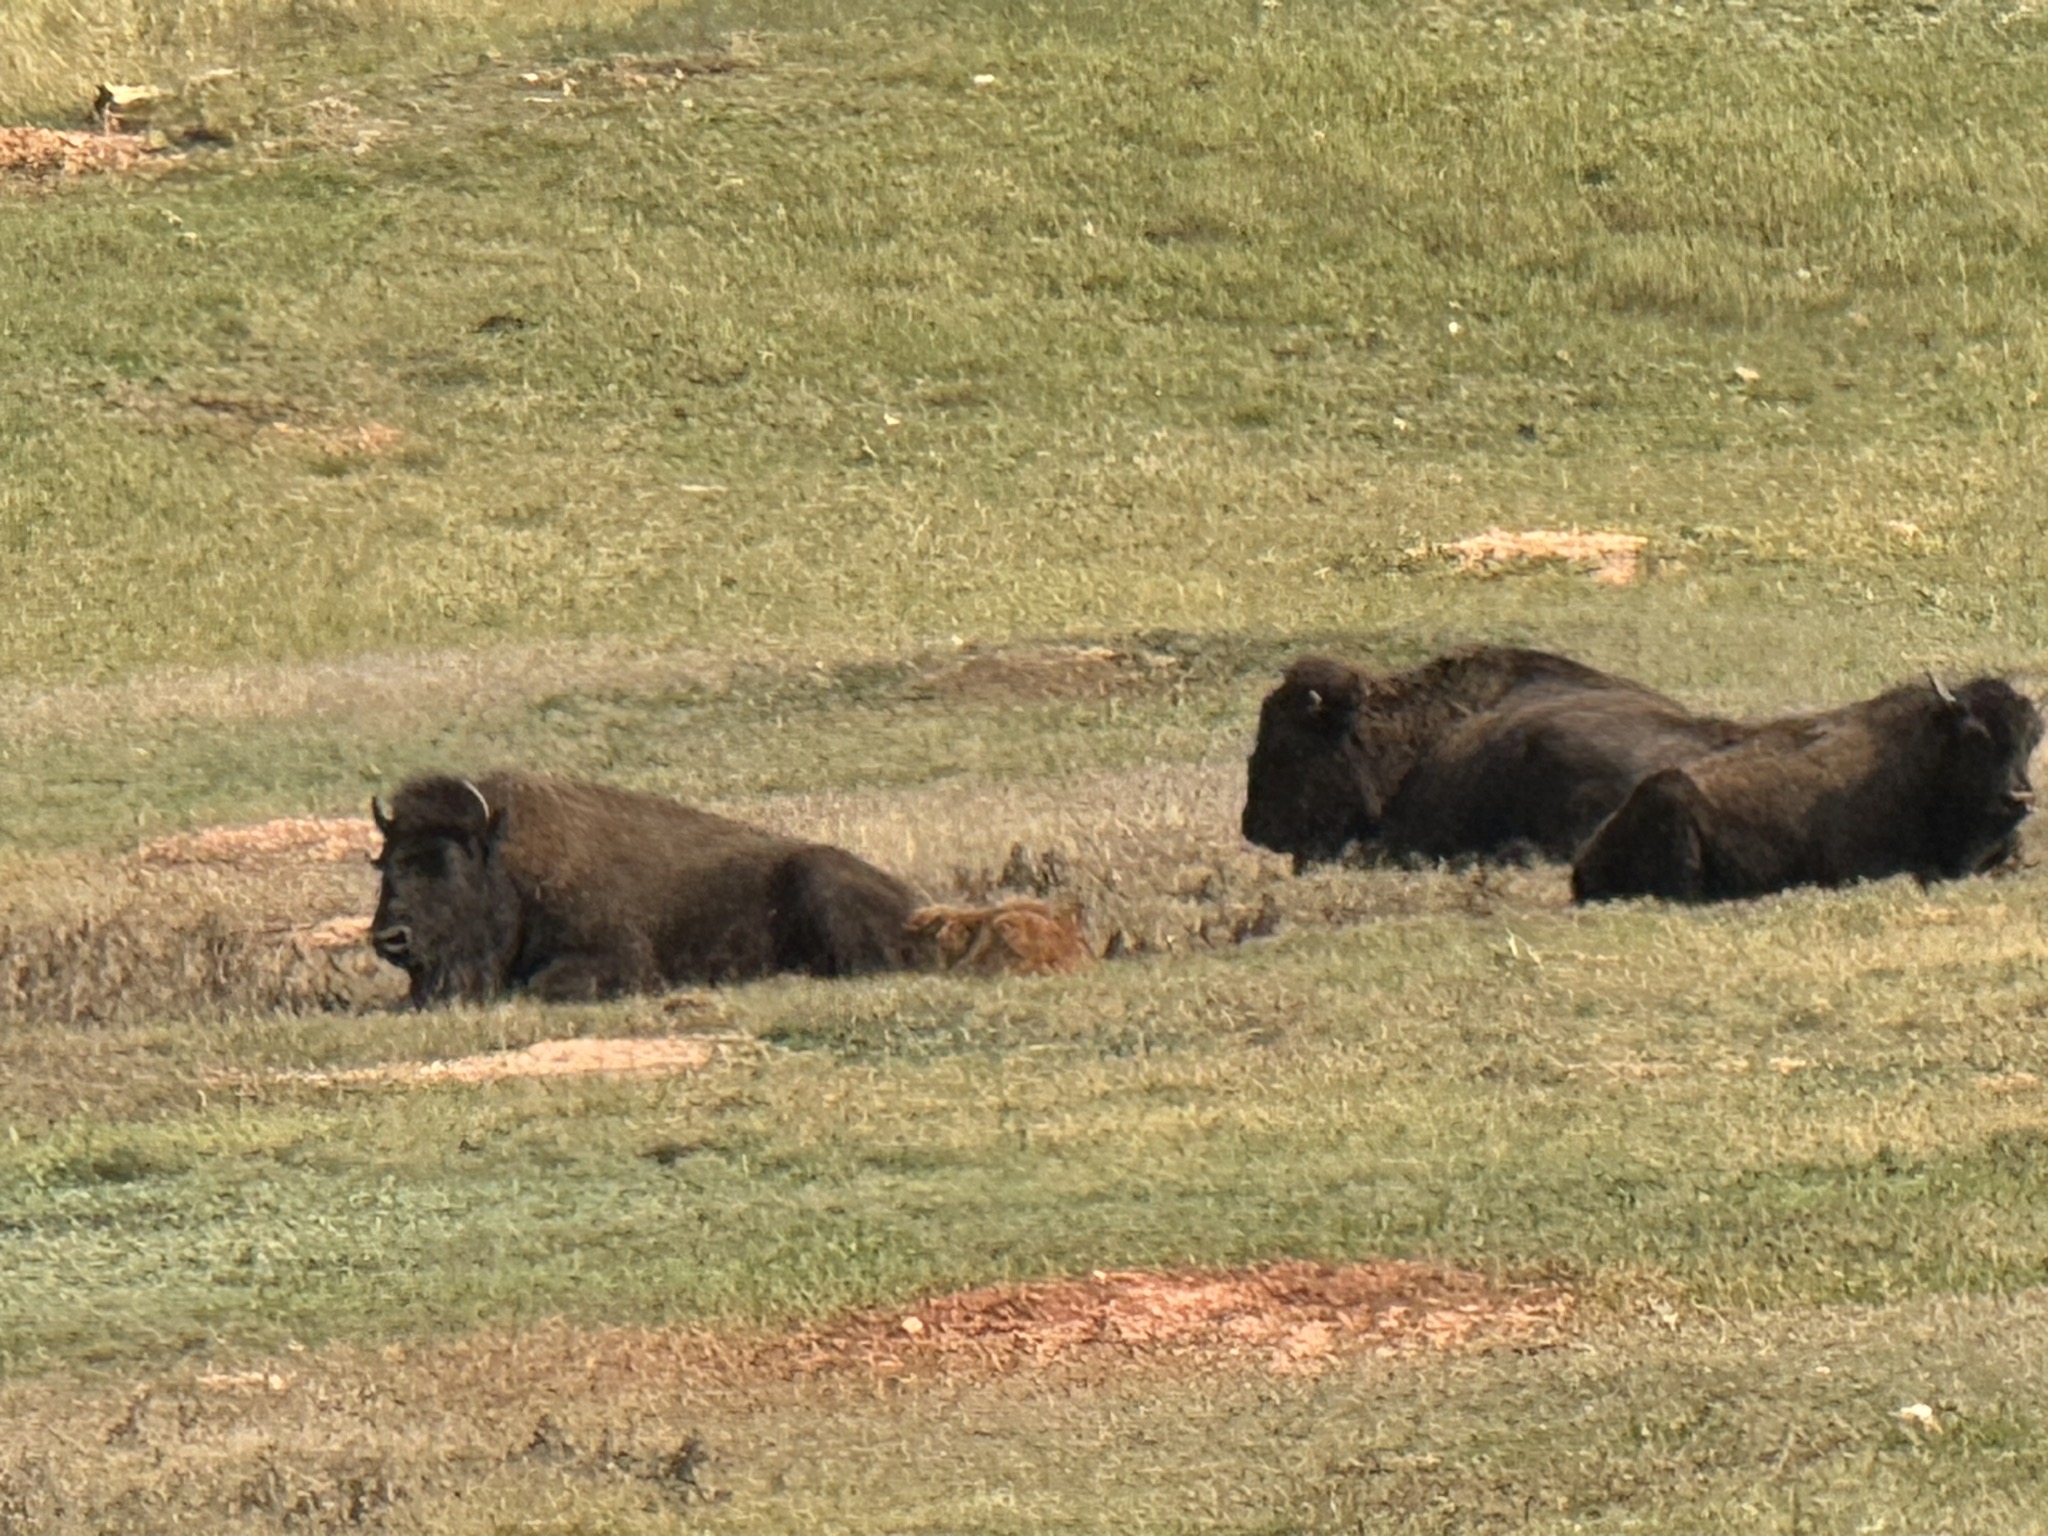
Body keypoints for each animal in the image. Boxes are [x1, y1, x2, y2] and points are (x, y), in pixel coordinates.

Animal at [370, 772, 925, 1006]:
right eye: (384, 862)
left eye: (447, 863)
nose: (389, 938)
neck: (510, 865)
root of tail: (913, 902)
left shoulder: (617, 957)